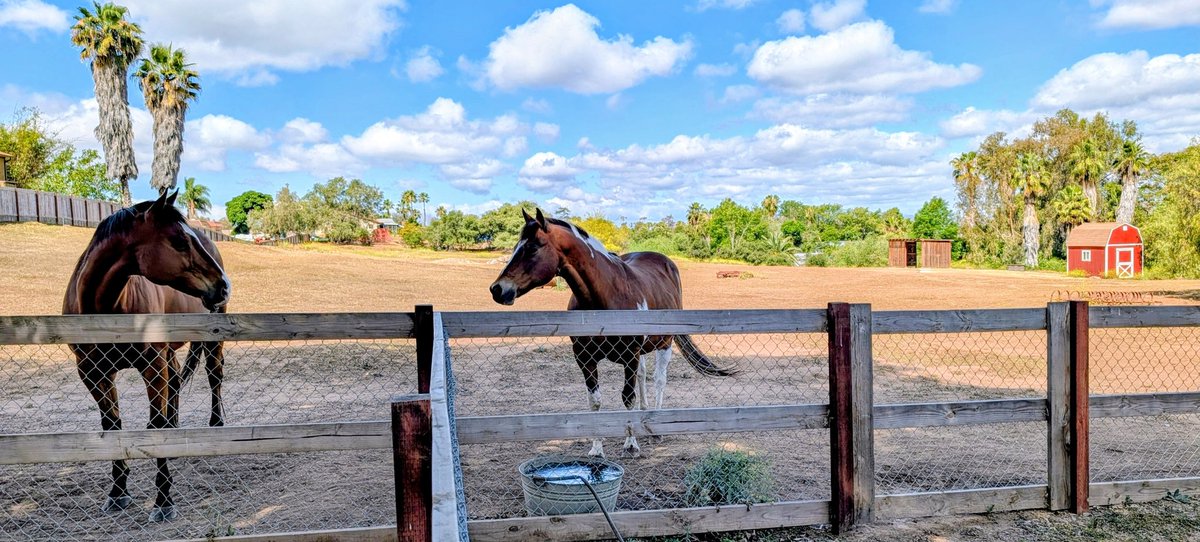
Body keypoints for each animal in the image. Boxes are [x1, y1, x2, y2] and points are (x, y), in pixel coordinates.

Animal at [62, 191, 231, 522]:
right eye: (179, 241)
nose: (223, 286)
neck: (105, 310)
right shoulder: (92, 372)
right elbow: (112, 426)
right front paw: (118, 492)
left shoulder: (151, 366)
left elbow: (155, 424)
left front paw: (164, 500)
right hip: (168, 353)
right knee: (176, 383)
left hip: (208, 341)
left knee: (214, 376)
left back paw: (215, 425)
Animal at [489, 208, 736, 457]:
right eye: (515, 247)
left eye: (532, 247)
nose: (497, 289)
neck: (605, 300)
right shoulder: (585, 358)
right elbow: (596, 401)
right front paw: (597, 449)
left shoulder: (630, 355)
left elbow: (627, 397)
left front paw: (631, 444)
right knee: (643, 377)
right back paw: (645, 415)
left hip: (664, 344)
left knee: (659, 380)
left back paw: (656, 427)